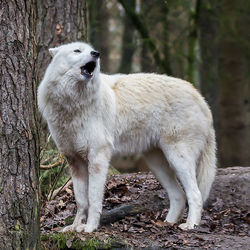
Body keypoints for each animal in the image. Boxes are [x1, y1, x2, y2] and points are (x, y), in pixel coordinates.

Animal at [37, 42, 217, 233]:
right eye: (77, 50)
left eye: (90, 49)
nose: (96, 53)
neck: (73, 103)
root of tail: (201, 98)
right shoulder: (74, 160)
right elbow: (81, 201)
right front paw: (74, 227)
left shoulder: (98, 157)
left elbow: (93, 199)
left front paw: (90, 228)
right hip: (157, 164)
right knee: (179, 195)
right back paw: (167, 223)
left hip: (178, 159)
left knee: (195, 194)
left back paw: (191, 225)